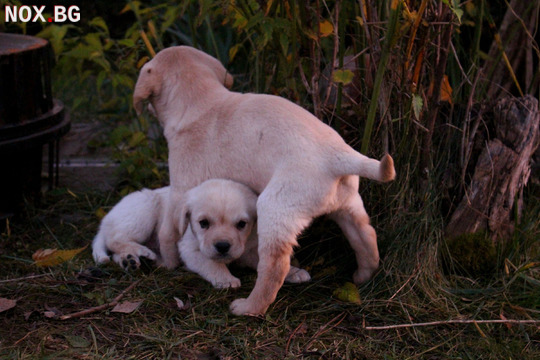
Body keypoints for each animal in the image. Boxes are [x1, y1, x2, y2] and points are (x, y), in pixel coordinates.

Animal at [134, 45, 396, 316]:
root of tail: (338, 155)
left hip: (275, 207)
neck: (201, 100)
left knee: (274, 267)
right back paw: (363, 276)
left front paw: (167, 263)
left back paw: (249, 307)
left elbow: (168, 231)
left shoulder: (181, 189)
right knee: (366, 237)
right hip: (347, 205)